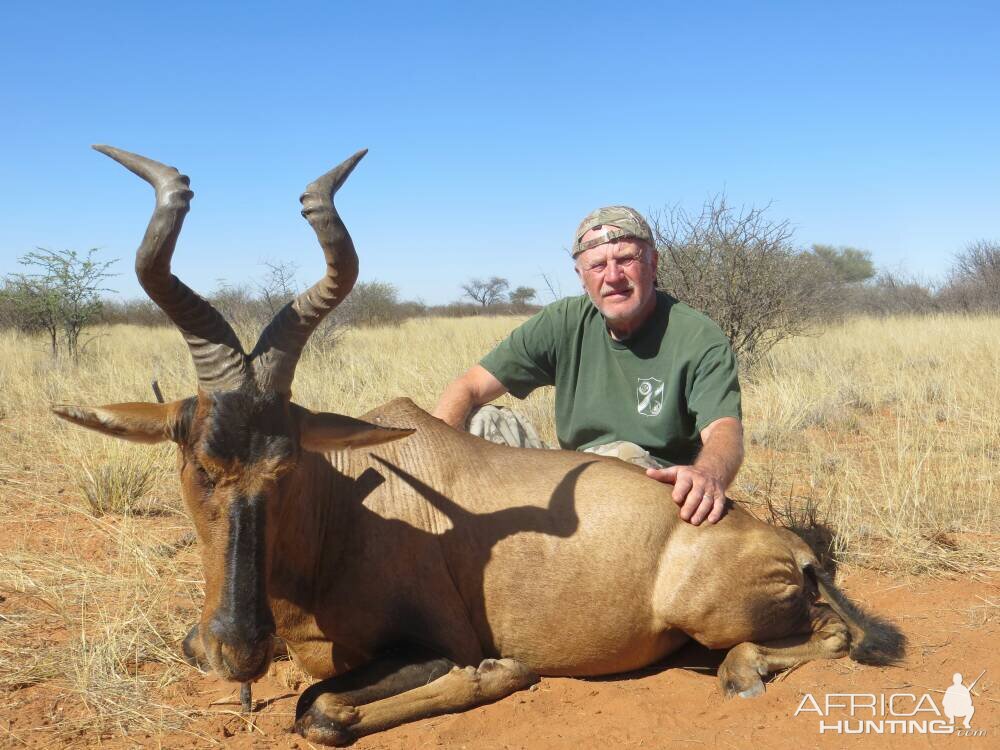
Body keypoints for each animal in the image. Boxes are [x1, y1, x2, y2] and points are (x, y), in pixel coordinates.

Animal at [58, 147, 912, 748]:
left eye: (287, 464)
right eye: (199, 464)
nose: (235, 650)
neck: (349, 510)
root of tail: (787, 544)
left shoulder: (435, 643)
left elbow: (322, 708)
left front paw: (500, 671)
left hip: (715, 617)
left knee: (827, 636)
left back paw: (740, 674)